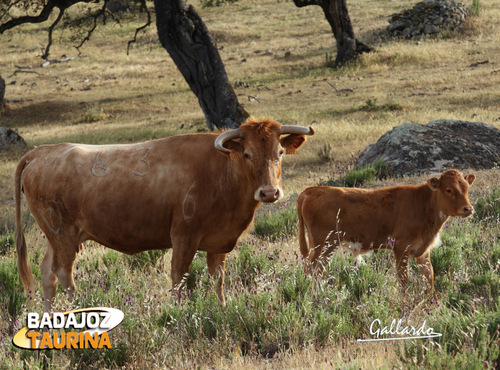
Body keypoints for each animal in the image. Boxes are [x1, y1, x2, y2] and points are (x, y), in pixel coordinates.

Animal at [16, 118, 312, 310]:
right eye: (247, 154)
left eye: (280, 152)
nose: (269, 192)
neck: (221, 171)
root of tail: (41, 152)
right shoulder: (184, 236)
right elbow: (179, 278)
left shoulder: (218, 242)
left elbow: (218, 279)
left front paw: (222, 309)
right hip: (63, 234)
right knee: (63, 273)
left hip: (57, 237)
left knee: (47, 272)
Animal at [296, 171, 476, 298]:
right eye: (449, 190)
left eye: (467, 188)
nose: (468, 209)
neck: (423, 204)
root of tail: (310, 190)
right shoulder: (401, 248)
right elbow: (403, 278)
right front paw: (404, 305)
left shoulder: (422, 250)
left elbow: (429, 276)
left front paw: (435, 304)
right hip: (324, 245)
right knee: (312, 269)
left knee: (314, 270)